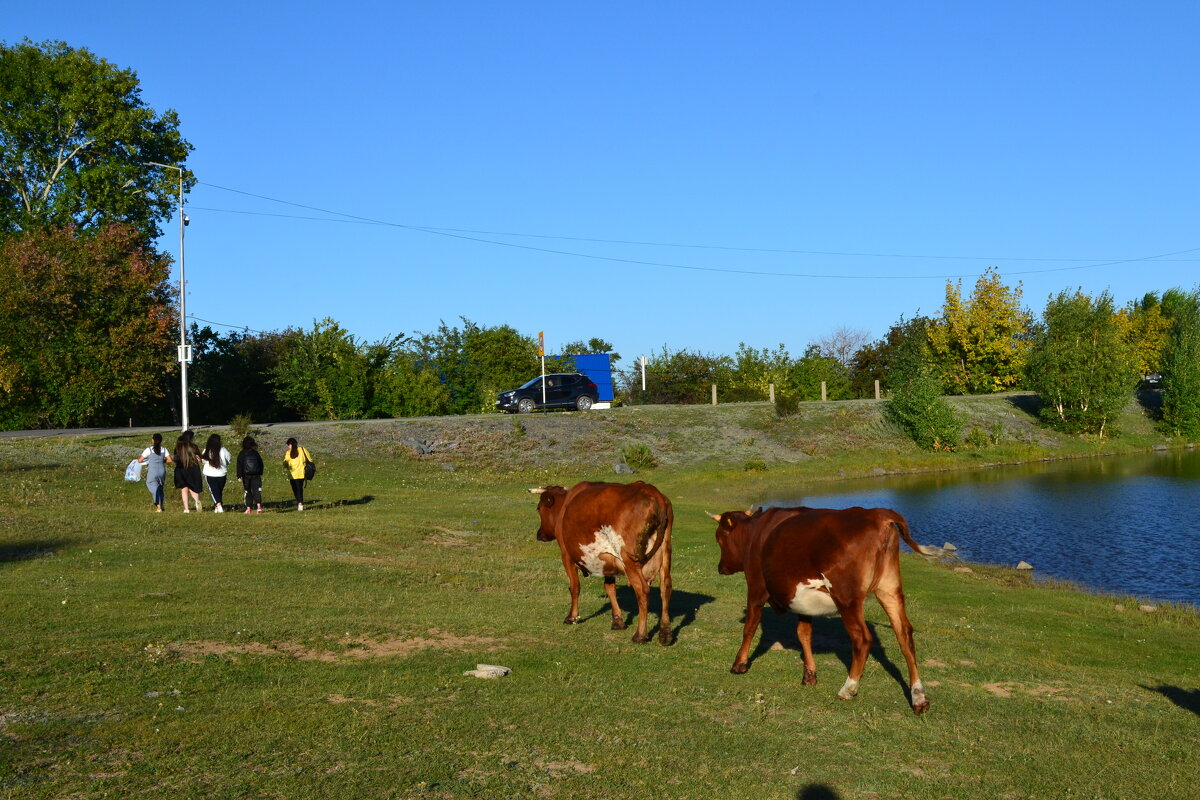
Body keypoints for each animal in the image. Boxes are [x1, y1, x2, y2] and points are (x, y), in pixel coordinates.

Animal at [530, 482, 672, 642]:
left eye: (539, 508)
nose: (539, 534)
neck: (566, 505)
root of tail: (652, 492)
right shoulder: (608, 561)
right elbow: (610, 588)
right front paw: (617, 621)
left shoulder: (566, 555)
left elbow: (574, 587)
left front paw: (572, 617)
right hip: (665, 552)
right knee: (666, 586)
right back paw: (665, 634)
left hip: (629, 560)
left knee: (642, 590)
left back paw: (640, 635)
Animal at [705, 506, 931, 714]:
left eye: (719, 539)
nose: (720, 568)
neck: (757, 533)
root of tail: (878, 513)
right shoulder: (801, 602)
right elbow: (804, 633)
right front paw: (809, 675)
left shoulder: (756, 588)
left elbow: (750, 628)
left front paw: (739, 664)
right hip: (889, 589)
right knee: (904, 634)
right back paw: (919, 697)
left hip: (846, 597)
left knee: (862, 638)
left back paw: (848, 688)